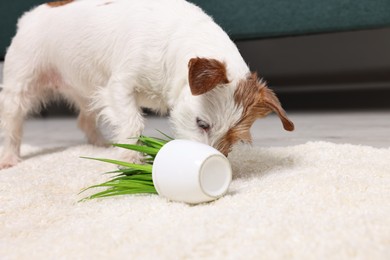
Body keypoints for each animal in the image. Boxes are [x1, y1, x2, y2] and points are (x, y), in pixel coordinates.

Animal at [0, 0, 292, 169]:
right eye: (202, 124)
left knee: (85, 119)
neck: (174, 39)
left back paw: (100, 144)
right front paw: (130, 158)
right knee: (13, 122)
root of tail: (29, 16)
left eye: (235, 139)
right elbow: (133, 122)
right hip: (21, 85)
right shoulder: (119, 86)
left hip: (88, 89)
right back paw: (9, 157)